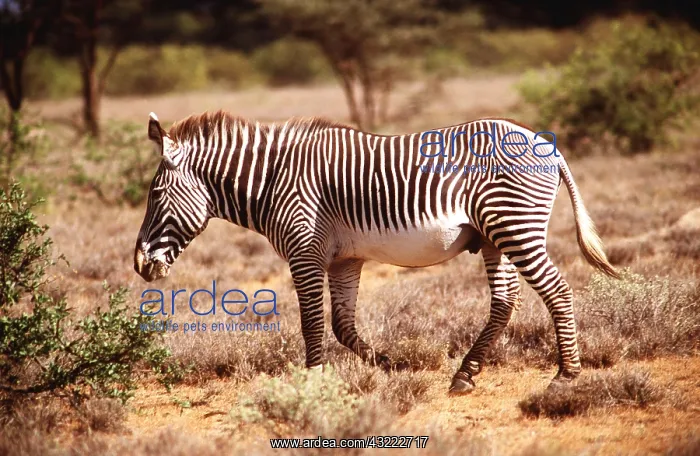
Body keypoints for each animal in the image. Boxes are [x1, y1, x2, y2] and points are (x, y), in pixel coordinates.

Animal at [134, 110, 618, 394]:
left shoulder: (305, 251)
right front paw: (389, 364)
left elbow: (312, 323)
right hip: (493, 236)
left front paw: (313, 384)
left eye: (154, 194)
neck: (274, 181)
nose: (139, 265)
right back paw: (465, 373)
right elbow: (342, 325)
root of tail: (545, 144)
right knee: (505, 301)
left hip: (514, 226)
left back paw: (566, 374)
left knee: (557, 291)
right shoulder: (344, 259)